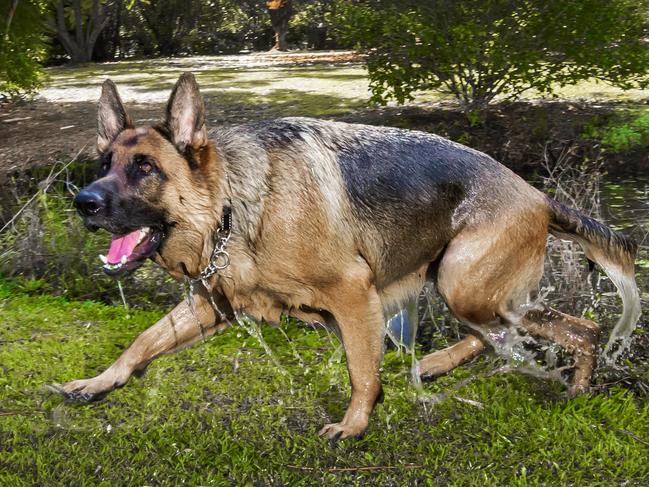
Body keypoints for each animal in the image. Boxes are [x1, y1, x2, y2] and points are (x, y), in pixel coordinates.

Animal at [58, 73, 640, 442]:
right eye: (104, 164)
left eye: (145, 168)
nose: (83, 202)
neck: (231, 205)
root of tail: (538, 194)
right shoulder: (211, 305)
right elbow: (141, 341)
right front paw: (98, 383)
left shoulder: (354, 294)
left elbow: (362, 370)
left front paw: (355, 425)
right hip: (462, 286)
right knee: (507, 334)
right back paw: (436, 365)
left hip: (463, 283)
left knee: (573, 328)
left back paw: (575, 386)